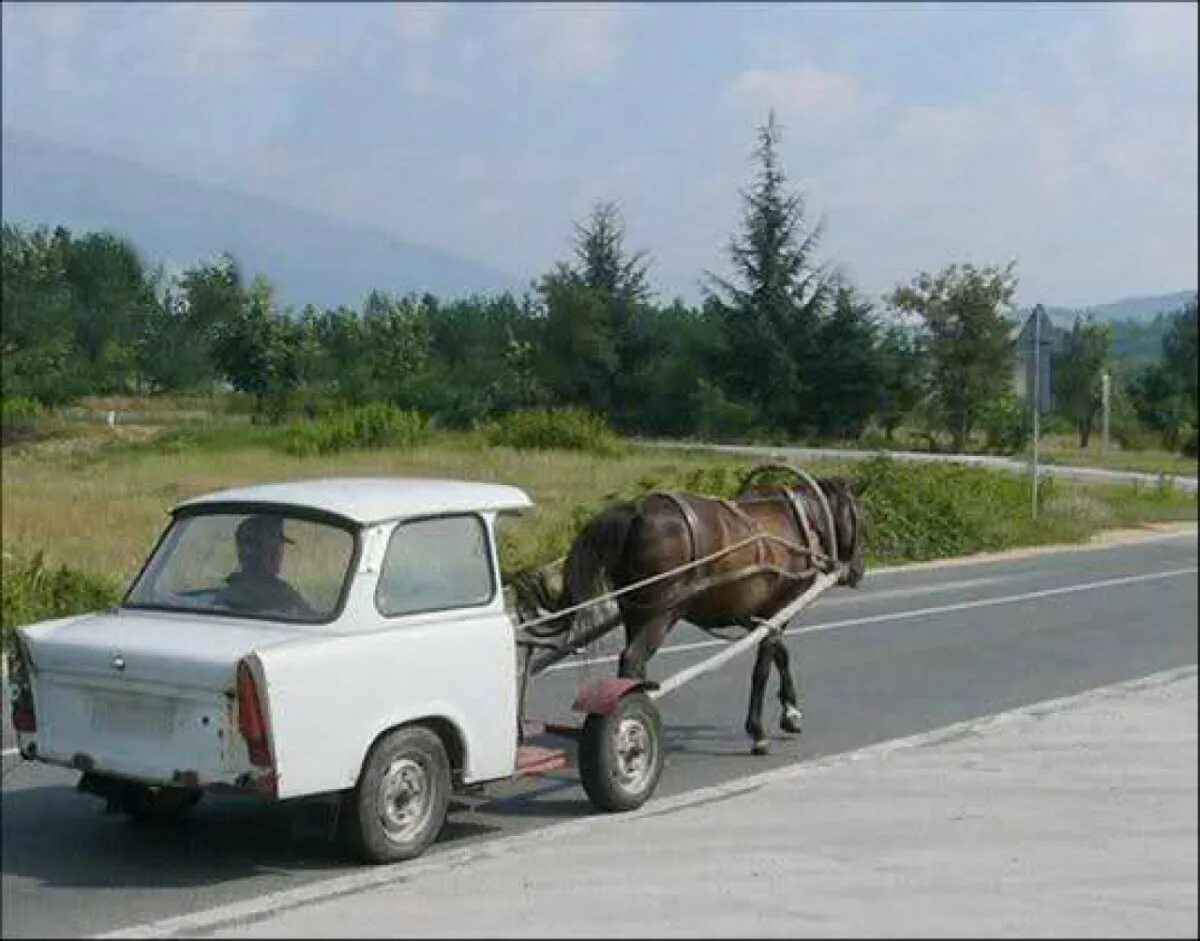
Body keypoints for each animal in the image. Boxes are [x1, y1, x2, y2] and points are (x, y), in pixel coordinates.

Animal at [549, 475, 868, 753]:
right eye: (858, 517)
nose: (858, 570)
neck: (803, 521)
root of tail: (636, 512)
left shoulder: (760, 614)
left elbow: (781, 655)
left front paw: (790, 712)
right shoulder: (779, 608)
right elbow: (763, 667)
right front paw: (758, 731)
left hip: (635, 612)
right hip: (662, 613)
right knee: (632, 659)